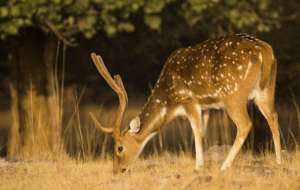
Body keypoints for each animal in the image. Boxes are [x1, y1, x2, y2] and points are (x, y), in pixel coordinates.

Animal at [89, 33, 282, 173]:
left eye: (119, 148)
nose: (116, 170)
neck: (169, 103)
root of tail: (266, 51)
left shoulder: (189, 100)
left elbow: (196, 132)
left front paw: (199, 166)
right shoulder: (207, 107)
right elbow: (203, 133)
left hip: (233, 95)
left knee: (245, 124)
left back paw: (224, 166)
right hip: (266, 90)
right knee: (273, 117)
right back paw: (279, 161)